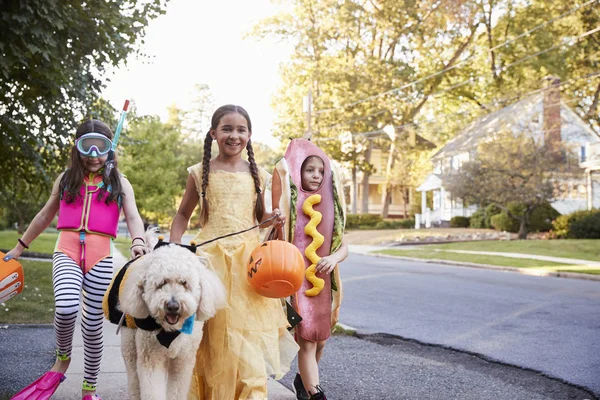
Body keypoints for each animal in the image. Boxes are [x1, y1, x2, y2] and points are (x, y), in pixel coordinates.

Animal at [118, 244, 226, 400]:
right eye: (161, 283)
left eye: (184, 283)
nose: (173, 306)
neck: (171, 331)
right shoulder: (151, 358)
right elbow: (152, 390)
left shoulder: (183, 361)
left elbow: (177, 389)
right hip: (130, 344)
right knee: (133, 376)